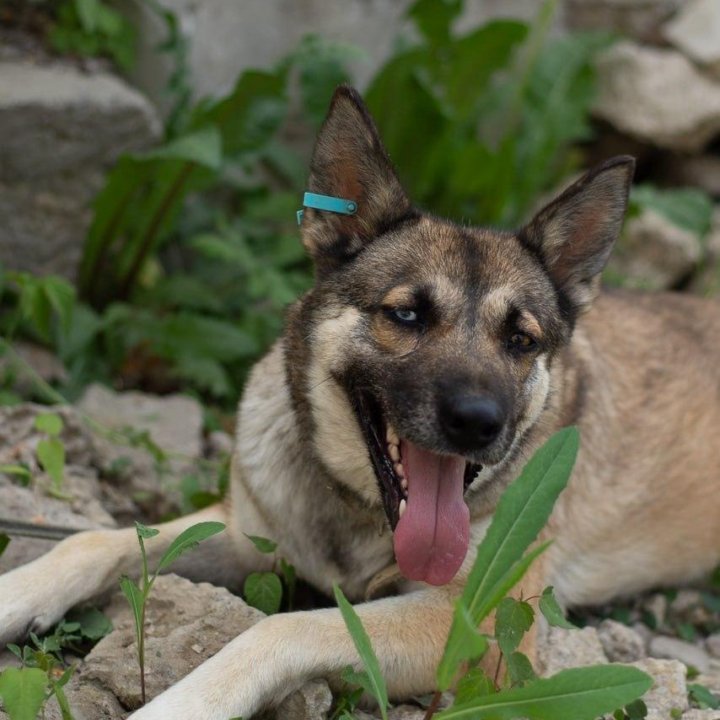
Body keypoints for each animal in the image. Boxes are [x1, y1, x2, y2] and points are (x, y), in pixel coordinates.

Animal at [1, 87, 720, 716]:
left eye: (522, 339)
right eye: (405, 314)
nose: (478, 424)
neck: (359, 514)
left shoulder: (474, 627)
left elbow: (288, 626)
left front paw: (184, 704)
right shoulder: (245, 534)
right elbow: (95, 539)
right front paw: (15, 593)